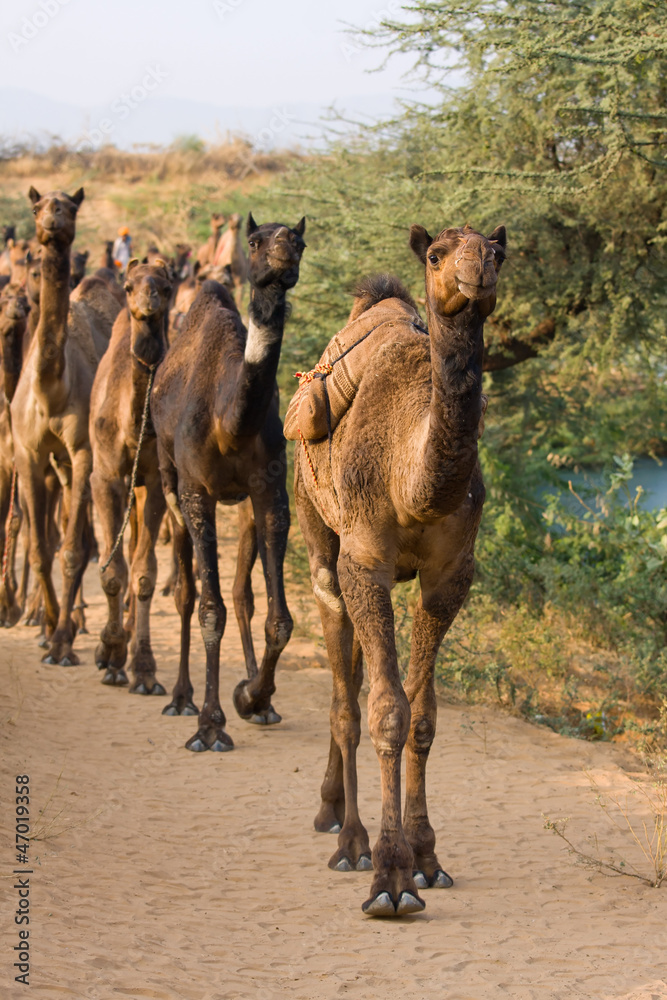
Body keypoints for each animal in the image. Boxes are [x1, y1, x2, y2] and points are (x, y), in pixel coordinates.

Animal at [152, 212, 306, 749]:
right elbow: (209, 607)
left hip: (240, 503)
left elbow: (279, 617)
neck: (228, 419)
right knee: (187, 590)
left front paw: (252, 697)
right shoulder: (196, 492)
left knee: (242, 593)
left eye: (301, 239)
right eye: (255, 241)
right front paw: (210, 723)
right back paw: (180, 698)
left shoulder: (270, 490)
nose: (284, 248)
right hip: (168, 482)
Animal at [293, 222, 506, 916]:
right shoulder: (366, 561)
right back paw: (349, 840)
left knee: (357, 677)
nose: (475, 270)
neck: (412, 476)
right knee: (344, 696)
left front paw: (428, 857)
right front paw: (390, 875)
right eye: (437, 254)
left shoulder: (450, 578)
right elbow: (388, 710)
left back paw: (333, 809)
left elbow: (425, 716)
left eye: (500, 253)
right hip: (317, 531)